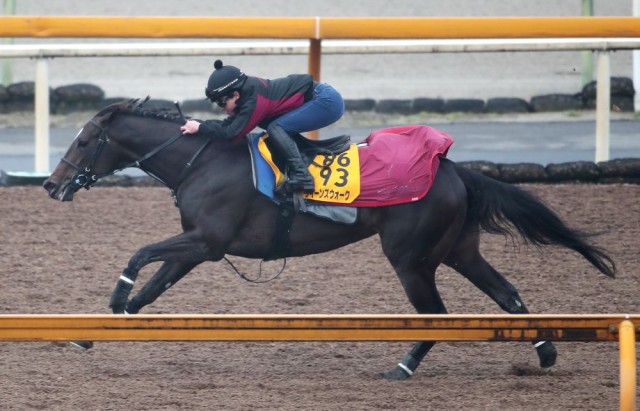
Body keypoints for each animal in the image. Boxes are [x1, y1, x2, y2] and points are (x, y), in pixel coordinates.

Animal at [41, 98, 616, 382]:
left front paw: (112, 299)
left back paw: (402, 367)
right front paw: (91, 333)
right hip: (458, 249)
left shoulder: (206, 242)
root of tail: (453, 167)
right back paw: (544, 352)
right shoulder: (199, 246)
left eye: (86, 140)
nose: (50, 184)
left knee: (437, 313)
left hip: (411, 258)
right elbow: (151, 289)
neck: (200, 161)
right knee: (507, 293)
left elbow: (138, 258)